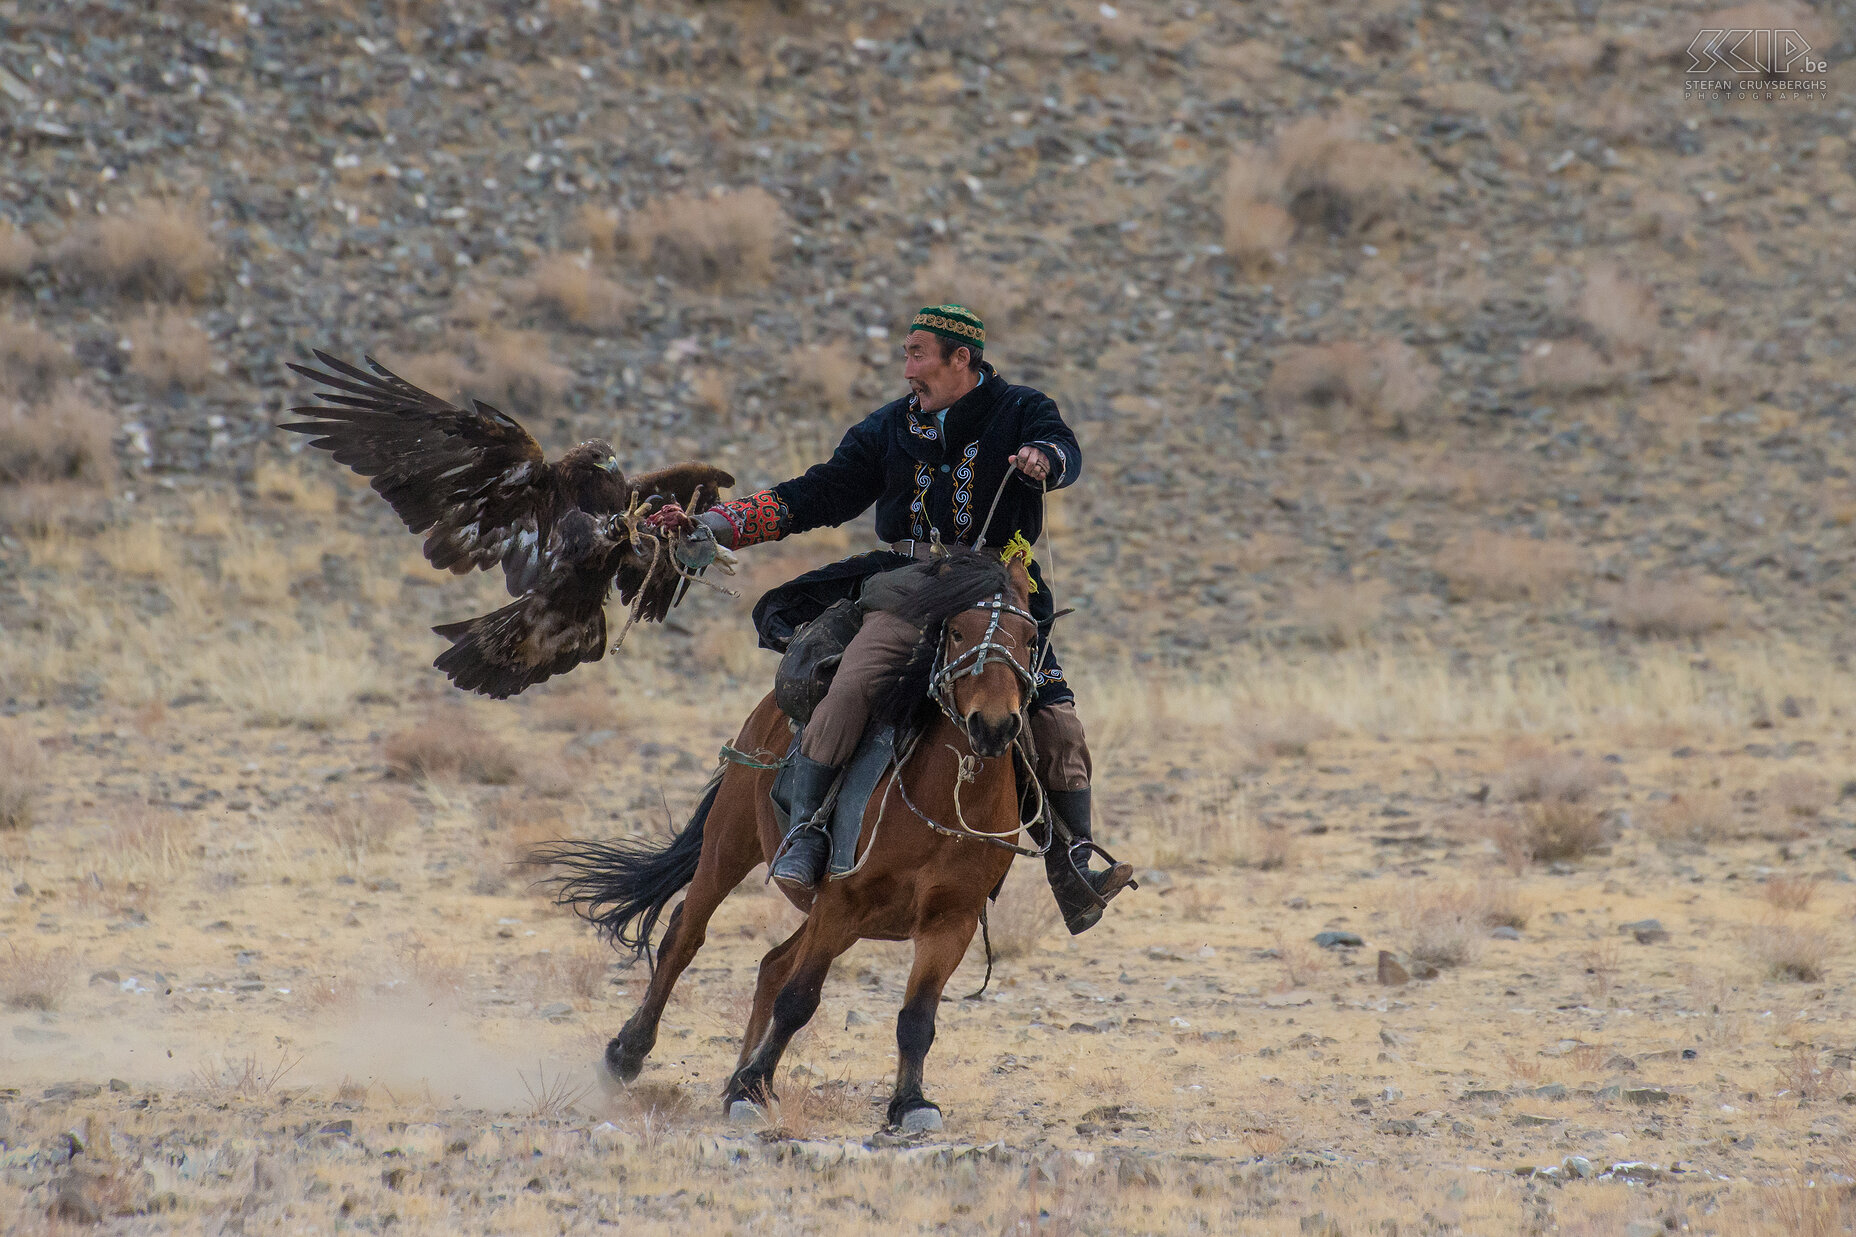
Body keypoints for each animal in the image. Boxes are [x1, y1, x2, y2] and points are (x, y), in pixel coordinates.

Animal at [538, 549, 1046, 1129]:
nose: (994, 725)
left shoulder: (950, 922)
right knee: (683, 940)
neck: (944, 797)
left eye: (1029, 637)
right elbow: (799, 999)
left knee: (771, 964)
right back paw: (628, 1055)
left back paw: (736, 1075)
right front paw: (753, 1085)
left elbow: (916, 1018)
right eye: (958, 631)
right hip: (730, 846)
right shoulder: (840, 901)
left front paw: (911, 1102)